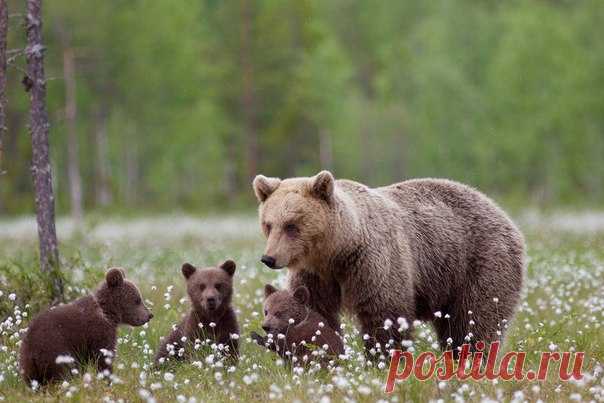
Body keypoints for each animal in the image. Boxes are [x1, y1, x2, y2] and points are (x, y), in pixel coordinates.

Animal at [250, 170, 524, 356]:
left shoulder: (373, 262)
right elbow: (317, 313)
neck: (336, 251)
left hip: (478, 263)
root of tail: (500, 211)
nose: (269, 258)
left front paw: (381, 358)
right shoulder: (315, 275)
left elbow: (384, 313)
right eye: (268, 224)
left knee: (473, 321)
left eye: (291, 226)